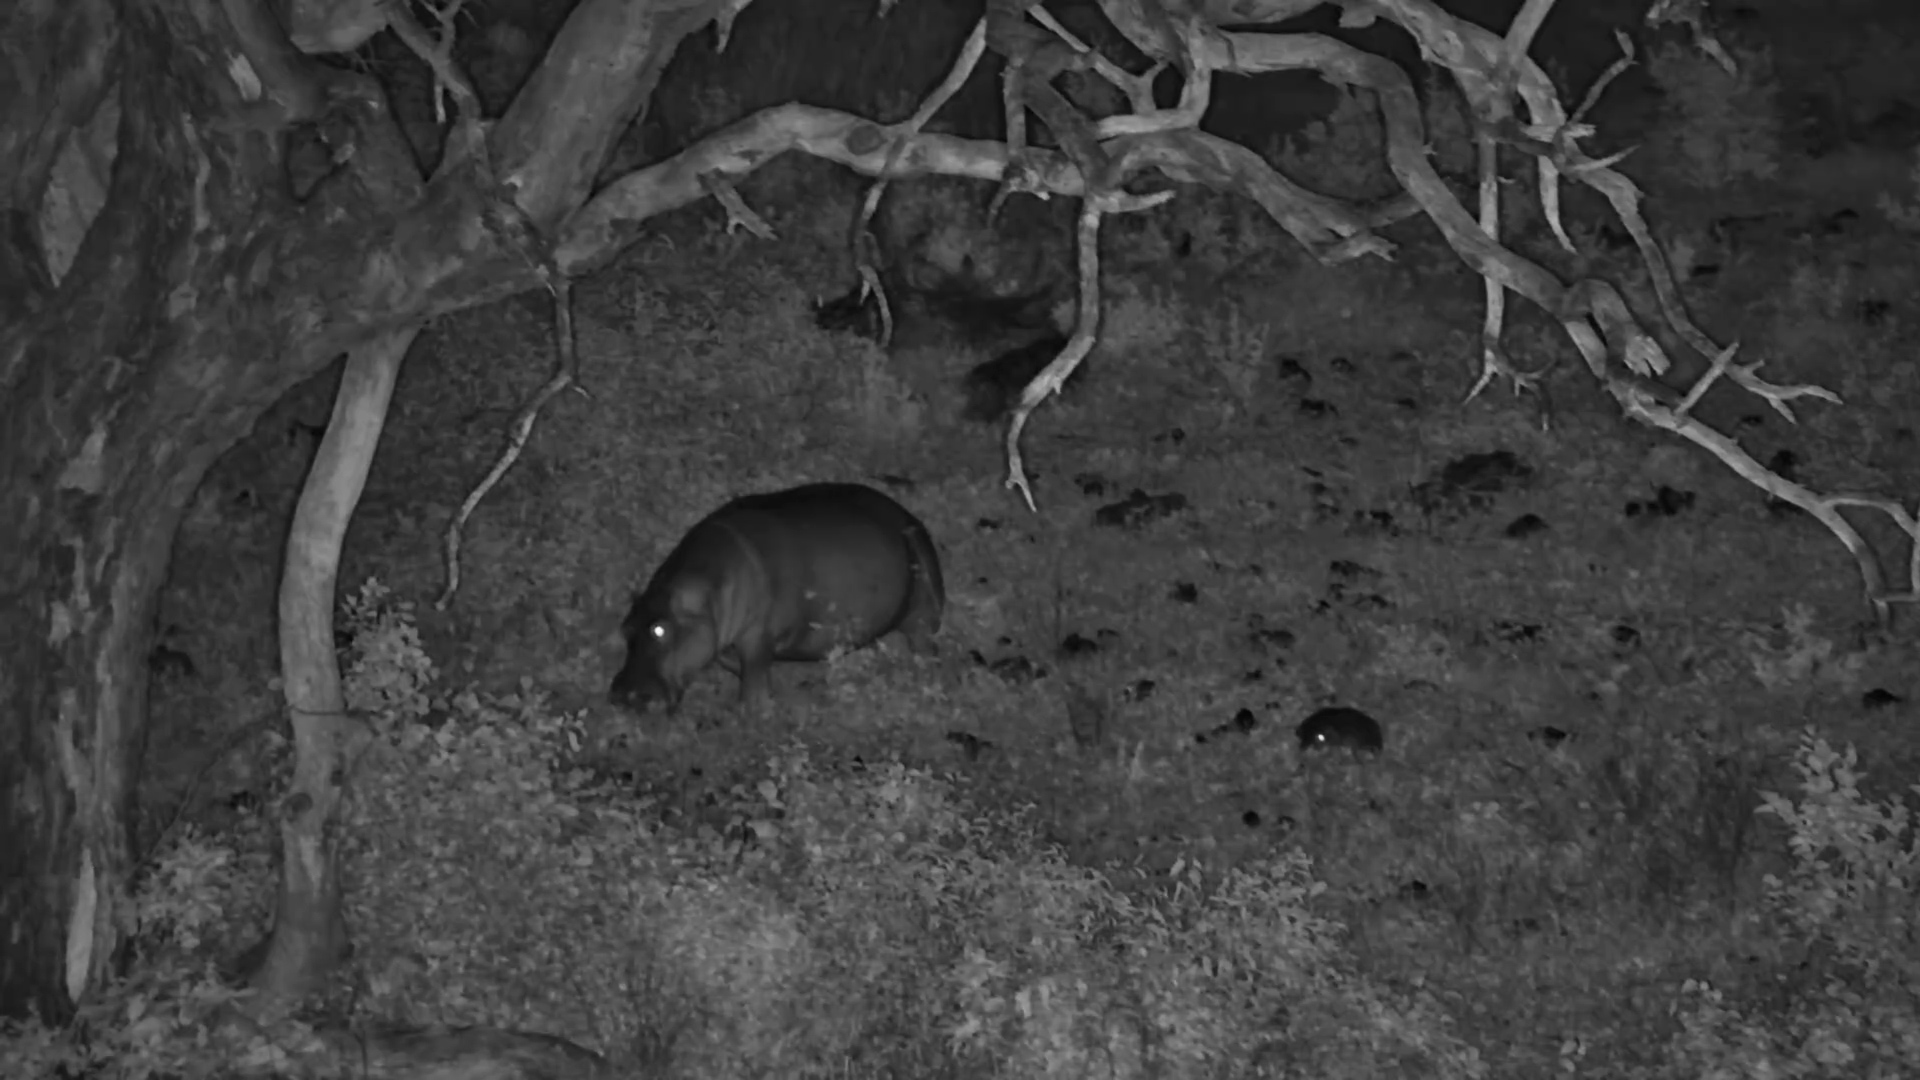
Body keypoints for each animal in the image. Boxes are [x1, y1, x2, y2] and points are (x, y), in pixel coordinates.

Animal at [609, 482, 946, 714]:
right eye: (624, 628)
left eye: (659, 629)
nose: (621, 695)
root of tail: (912, 519)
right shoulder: (721, 638)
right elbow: (732, 663)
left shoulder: (756, 635)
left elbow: (753, 678)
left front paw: (753, 710)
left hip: (924, 611)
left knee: (925, 646)